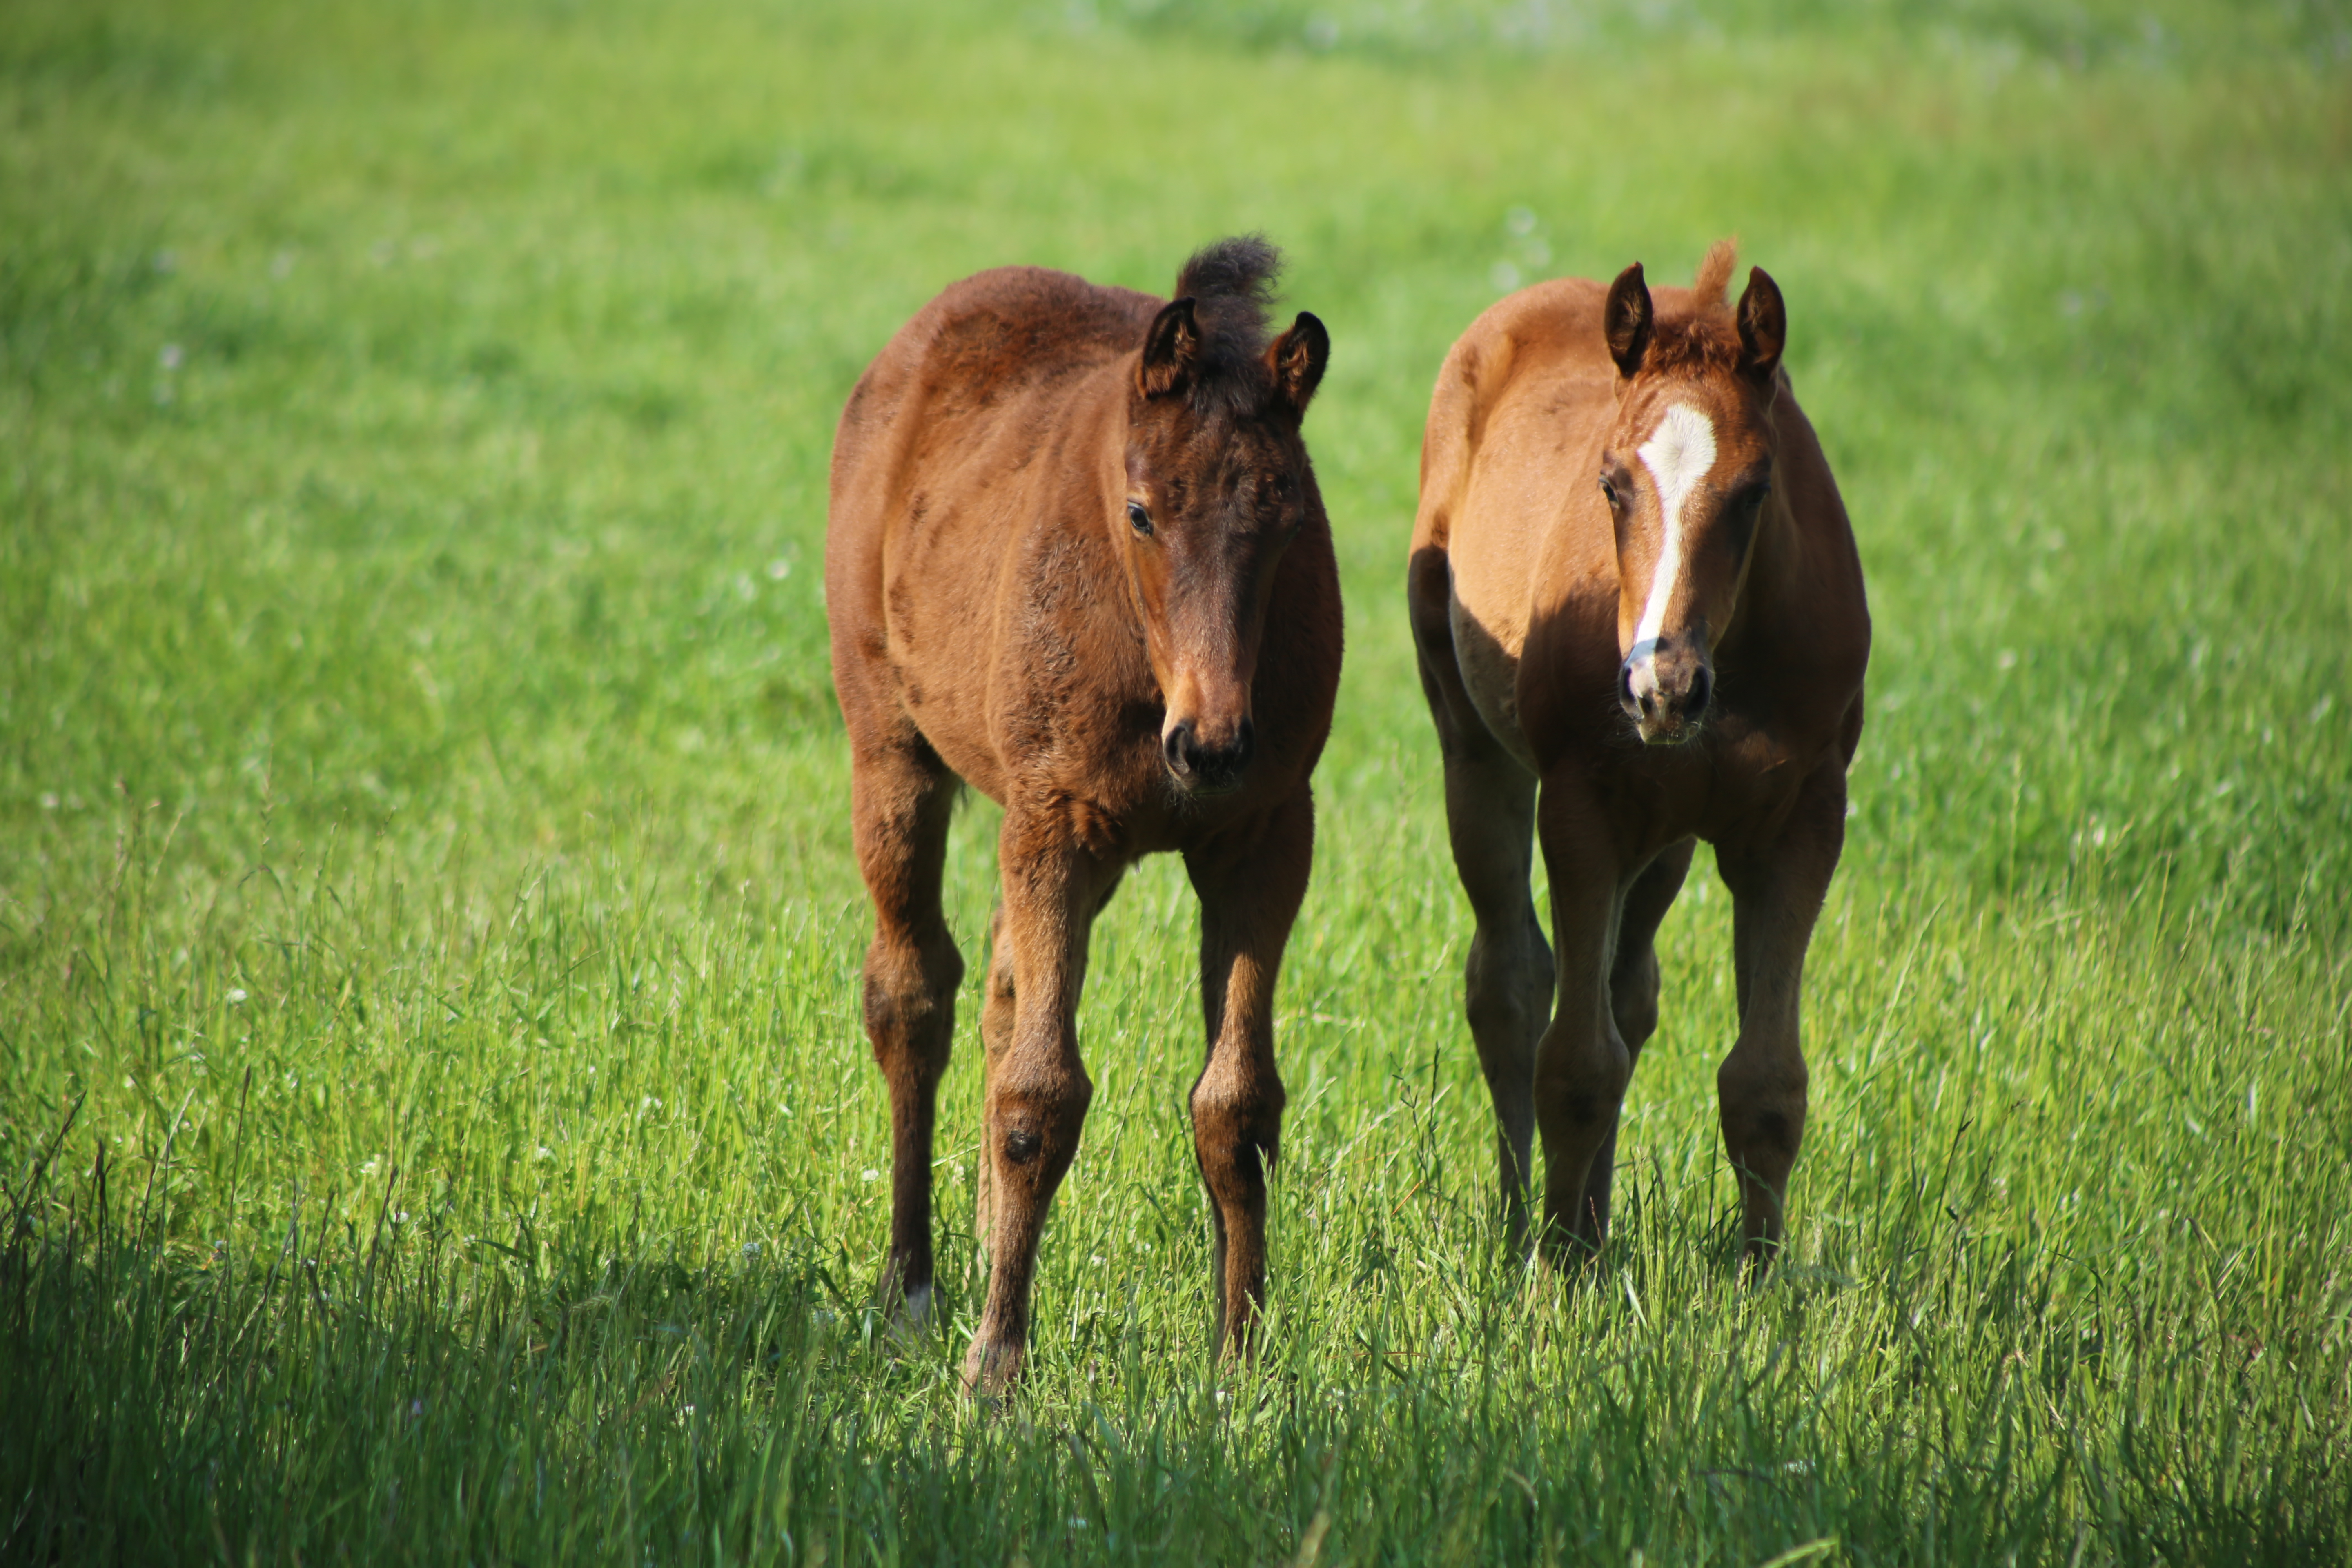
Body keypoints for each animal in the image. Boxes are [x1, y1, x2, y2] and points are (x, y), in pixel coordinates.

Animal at [828, 240, 1345, 1392]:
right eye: (1143, 511)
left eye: (1288, 516)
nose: (1212, 745)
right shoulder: (1054, 823)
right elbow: (1040, 1100)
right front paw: (996, 1370)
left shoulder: (1262, 837)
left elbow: (1237, 1105)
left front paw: (1240, 1366)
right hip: (893, 749)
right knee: (912, 993)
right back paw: (911, 1287)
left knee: (1000, 983)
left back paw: (980, 1244)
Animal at [1411, 248, 1872, 1278]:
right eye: (1611, 483)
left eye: (1755, 488)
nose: (1660, 685)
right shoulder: (1581, 808)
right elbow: (1576, 1064)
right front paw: (1555, 1277)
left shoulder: (1801, 821)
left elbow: (1764, 1082)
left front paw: (1759, 1285)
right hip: (1476, 755)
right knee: (1510, 984)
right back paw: (1527, 1226)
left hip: (1665, 838)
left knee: (1628, 994)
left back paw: (1590, 1220)